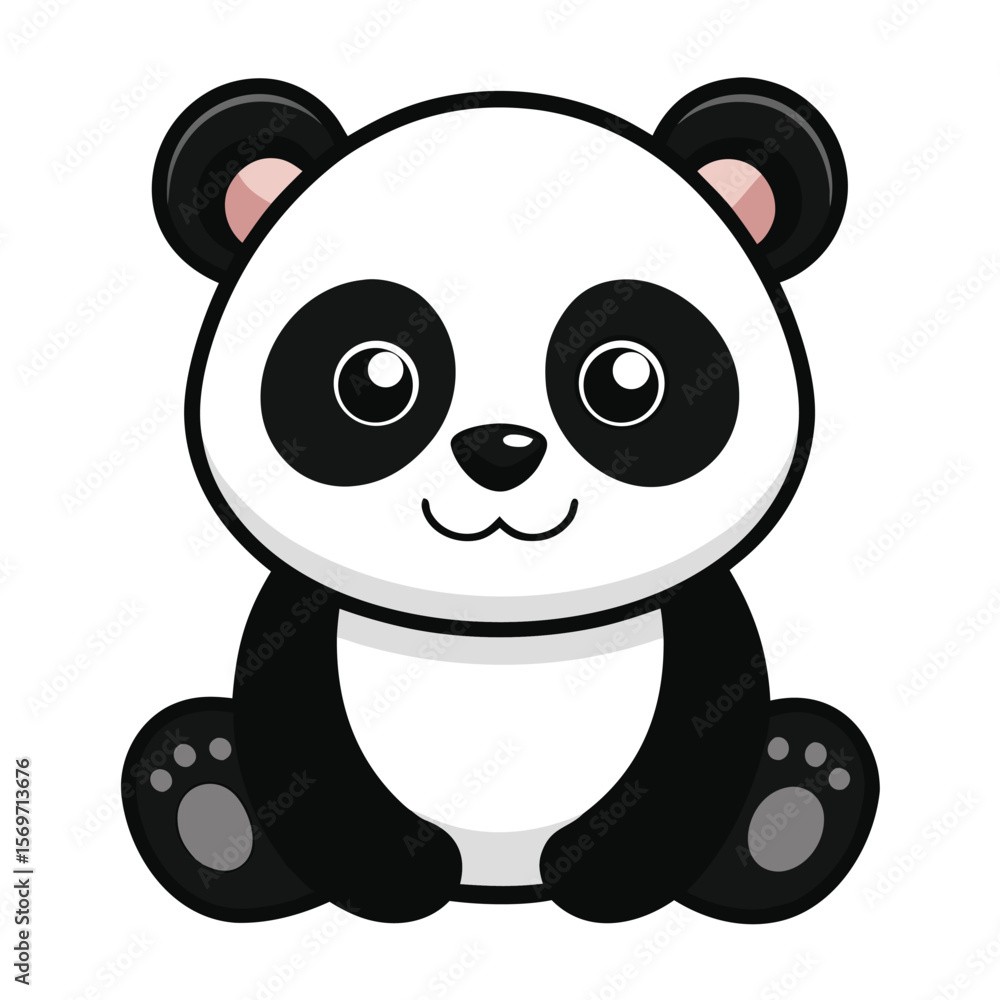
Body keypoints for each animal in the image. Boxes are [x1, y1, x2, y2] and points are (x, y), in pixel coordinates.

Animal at [123, 78, 879, 925]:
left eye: (625, 379)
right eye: (373, 378)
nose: (499, 451)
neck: (500, 628)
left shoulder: (698, 624)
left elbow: (698, 744)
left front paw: (596, 875)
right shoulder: (301, 624)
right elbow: (302, 753)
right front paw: (403, 878)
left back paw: (803, 789)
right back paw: (198, 790)